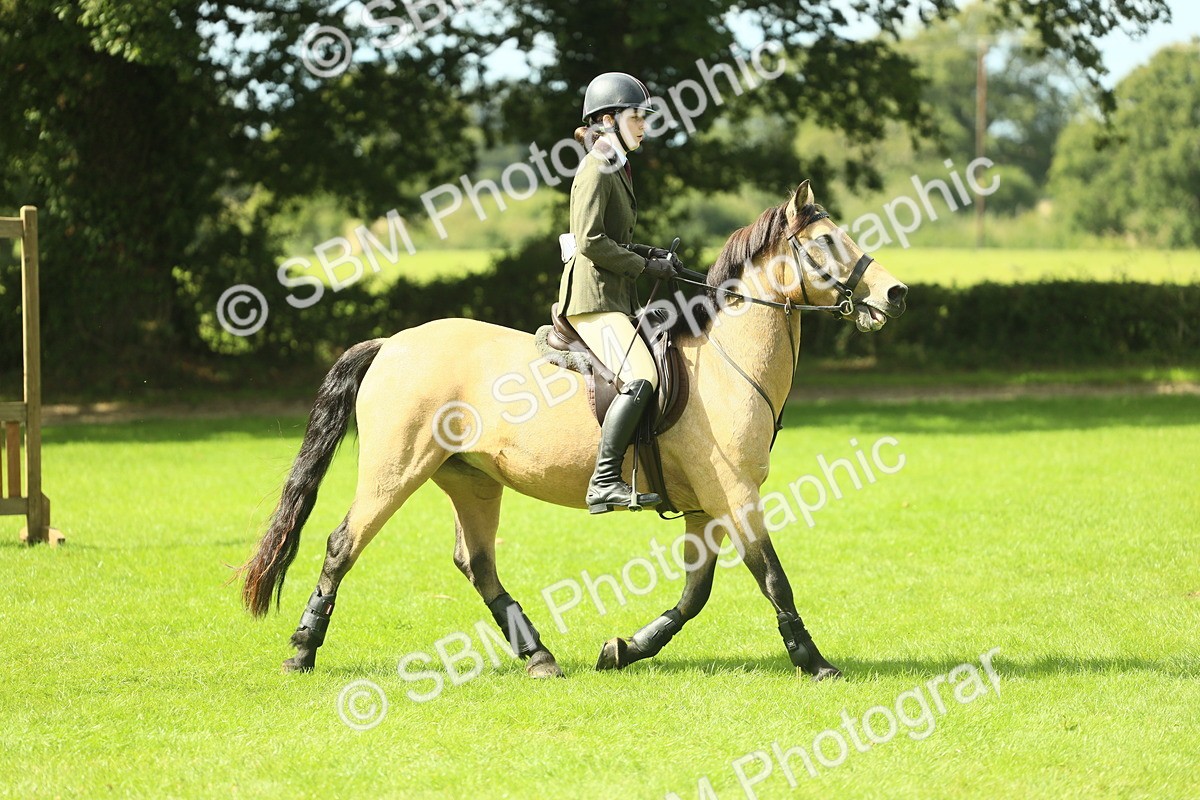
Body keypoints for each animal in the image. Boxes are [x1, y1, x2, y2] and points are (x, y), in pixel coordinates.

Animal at [239, 180, 908, 680]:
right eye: (826, 241)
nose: (897, 294)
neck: (725, 359)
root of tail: (391, 343)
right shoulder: (735, 493)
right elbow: (772, 577)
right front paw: (815, 662)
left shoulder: (704, 504)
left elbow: (696, 593)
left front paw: (624, 649)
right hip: (394, 470)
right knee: (342, 545)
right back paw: (301, 651)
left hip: (471, 480)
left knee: (476, 564)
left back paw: (539, 657)